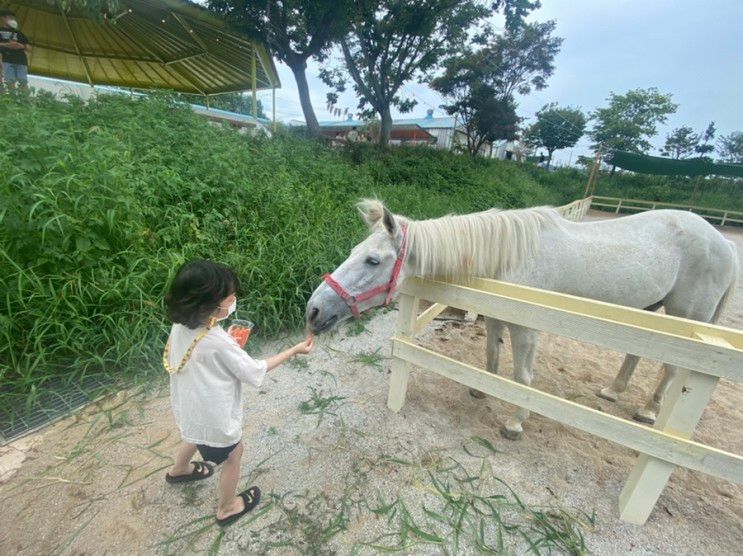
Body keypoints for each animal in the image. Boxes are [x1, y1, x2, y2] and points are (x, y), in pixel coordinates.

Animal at [306, 200, 740, 438]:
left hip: (689, 316)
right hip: (648, 312)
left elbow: (522, 378)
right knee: (636, 355)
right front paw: (480, 390)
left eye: (372, 260)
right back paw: (613, 391)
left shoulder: (527, 326)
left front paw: (515, 423)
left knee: (672, 369)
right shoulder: (498, 317)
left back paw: (648, 411)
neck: (508, 258)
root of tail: (722, 243)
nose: (313, 310)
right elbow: (492, 356)